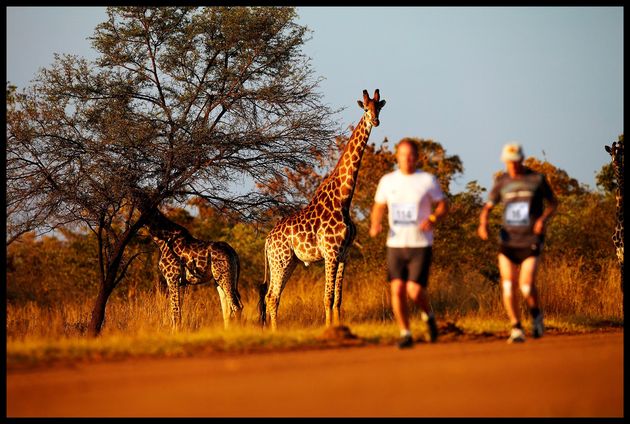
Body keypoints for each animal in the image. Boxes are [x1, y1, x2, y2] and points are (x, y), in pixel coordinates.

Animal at [260, 88, 388, 330]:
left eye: (379, 108)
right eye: (366, 110)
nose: (375, 121)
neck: (344, 200)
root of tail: (267, 241)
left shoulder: (345, 253)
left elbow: (338, 298)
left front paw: (338, 326)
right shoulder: (330, 252)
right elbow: (327, 297)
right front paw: (329, 329)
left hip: (288, 262)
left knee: (271, 296)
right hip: (280, 260)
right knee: (272, 297)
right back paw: (275, 331)